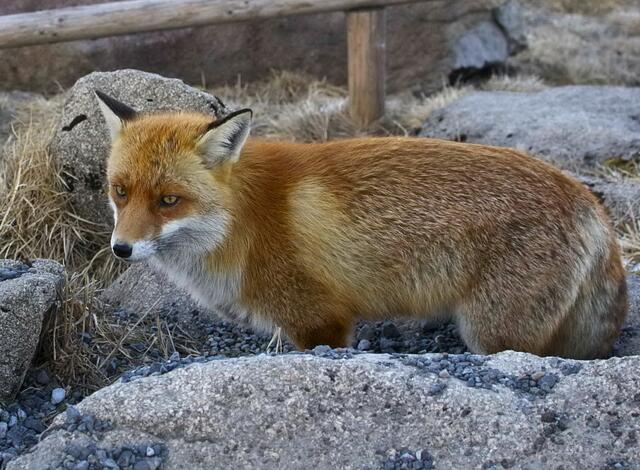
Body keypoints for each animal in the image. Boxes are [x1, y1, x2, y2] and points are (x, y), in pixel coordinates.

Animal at [94, 90, 627, 359]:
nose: (122, 249)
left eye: (168, 201)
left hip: (494, 334)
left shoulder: (320, 321)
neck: (242, 221)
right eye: (120, 192)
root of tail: (589, 201)